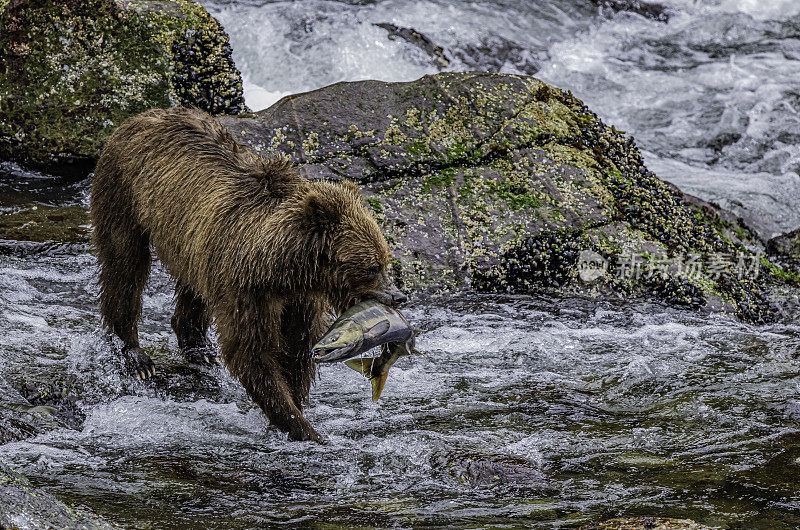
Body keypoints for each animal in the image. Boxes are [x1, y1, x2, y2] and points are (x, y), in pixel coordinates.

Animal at [90, 105, 406, 440]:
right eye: (372, 266)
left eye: (387, 259)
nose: (399, 297)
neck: (283, 270)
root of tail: (141, 116)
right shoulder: (245, 289)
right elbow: (252, 353)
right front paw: (301, 426)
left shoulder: (299, 299)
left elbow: (297, 350)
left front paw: (296, 407)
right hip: (124, 192)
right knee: (124, 264)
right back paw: (135, 357)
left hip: (193, 243)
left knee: (191, 285)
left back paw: (200, 348)